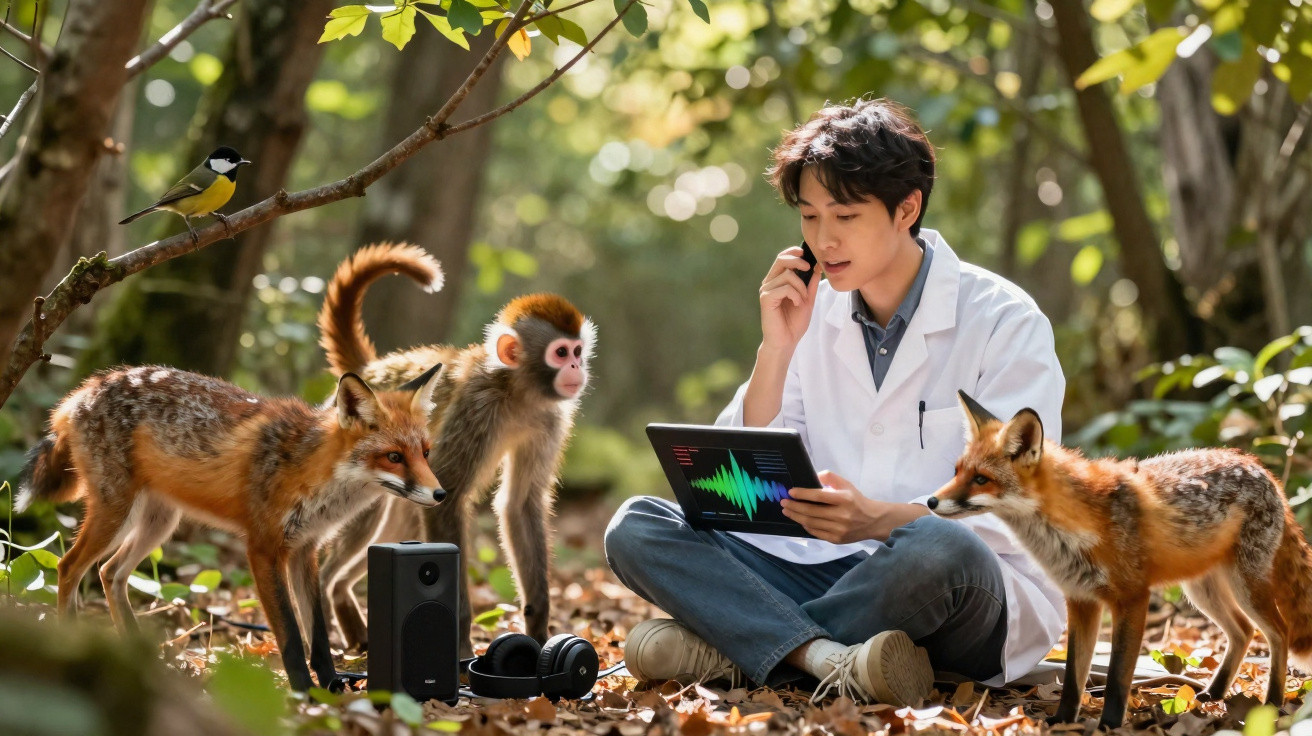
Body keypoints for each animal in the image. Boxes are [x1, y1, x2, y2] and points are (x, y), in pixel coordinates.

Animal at [15, 363, 446, 692]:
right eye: (393, 457)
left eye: (425, 453)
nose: (441, 493)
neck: (310, 470)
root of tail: (84, 391)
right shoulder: (263, 547)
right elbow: (291, 635)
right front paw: (304, 693)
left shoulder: (304, 549)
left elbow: (319, 635)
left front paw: (331, 687)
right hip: (116, 513)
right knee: (68, 568)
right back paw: (69, 642)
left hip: (157, 522)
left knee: (110, 573)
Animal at [315, 242, 595, 657]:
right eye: (561, 353)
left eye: (577, 350)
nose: (578, 366)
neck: (517, 392)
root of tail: (374, 372)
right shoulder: (478, 407)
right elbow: (447, 496)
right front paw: (460, 646)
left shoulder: (550, 418)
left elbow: (519, 503)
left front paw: (540, 630)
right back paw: (322, 590)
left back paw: (342, 601)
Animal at [927, 391, 1312, 729]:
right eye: (957, 471)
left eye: (981, 479)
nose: (930, 501)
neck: (1076, 528)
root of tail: (1262, 468)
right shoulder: (1081, 600)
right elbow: (1073, 677)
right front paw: (1063, 720)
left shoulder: (1132, 598)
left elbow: (1116, 678)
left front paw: (1109, 724)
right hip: (1203, 591)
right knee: (1243, 632)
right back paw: (1213, 693)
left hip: (1244, 587)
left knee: (1278, 633)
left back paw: (1273, 702)